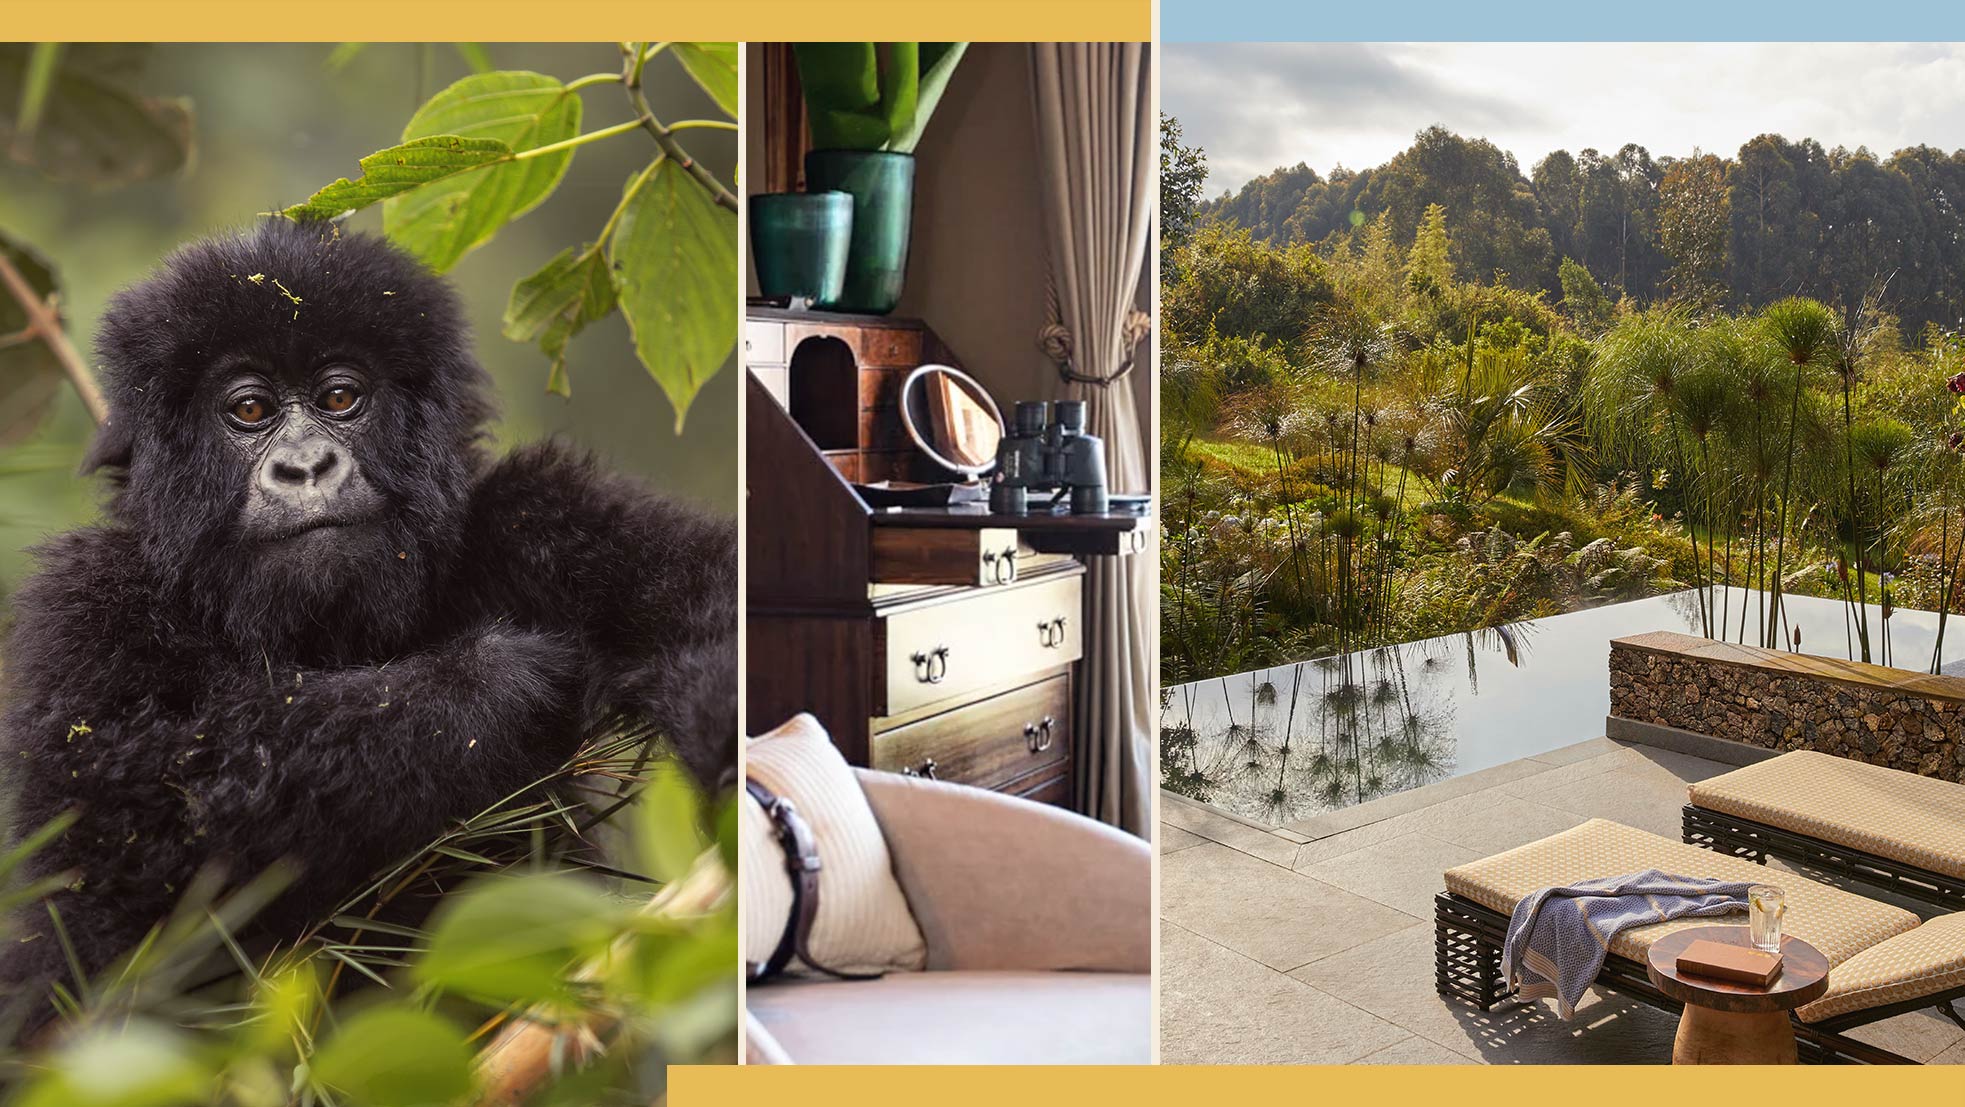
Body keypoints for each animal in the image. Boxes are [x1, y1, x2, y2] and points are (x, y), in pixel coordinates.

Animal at [0, 219, 736, 1018]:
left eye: (340, 396)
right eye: (249, 410)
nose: (306, 466)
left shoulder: (546, 513)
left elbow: (710, 605)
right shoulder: (81, 606)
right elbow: (125, 825)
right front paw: (489, 683)